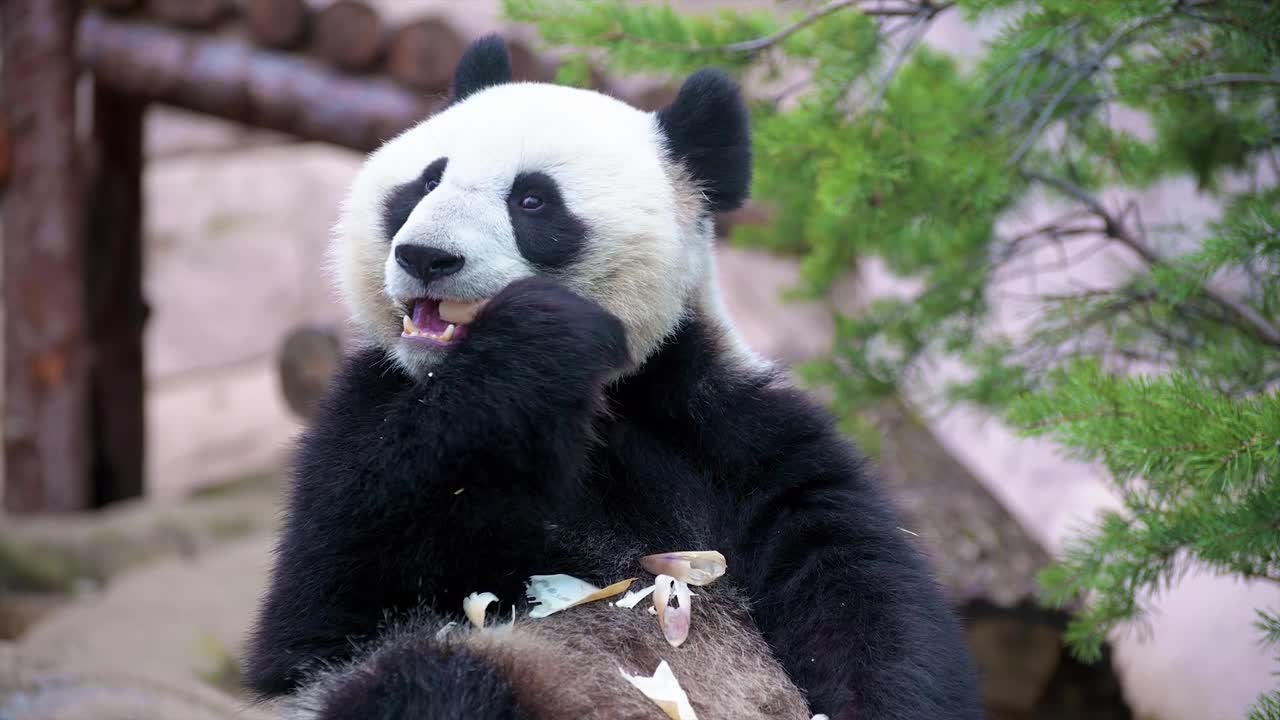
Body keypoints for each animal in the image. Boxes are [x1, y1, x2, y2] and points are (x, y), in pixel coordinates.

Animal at [241, 36, 977, 717]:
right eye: (425, 182)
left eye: (532, 200)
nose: (426, 256)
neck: (601, 394)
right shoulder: (371, 404)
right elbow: (318, 610)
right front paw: (537, 338)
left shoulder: (728, 428)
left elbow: (857, 582)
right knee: (425, 679)